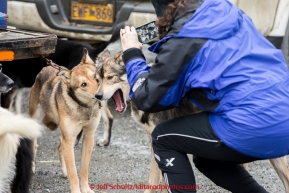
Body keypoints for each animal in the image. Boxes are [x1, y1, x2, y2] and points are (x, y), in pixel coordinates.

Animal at [28, 48, 102, 193]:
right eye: (83, 85)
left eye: (96, 77)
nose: (99, 95)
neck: (84, 107)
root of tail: (45, 68)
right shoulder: (69, 138)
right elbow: (74, 173)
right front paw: (76, 190)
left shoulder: (88, 136)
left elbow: (83, 169)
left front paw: (85, 188)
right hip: (37, 121)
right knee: (34, 145)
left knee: (59, 146)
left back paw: (64, 172)